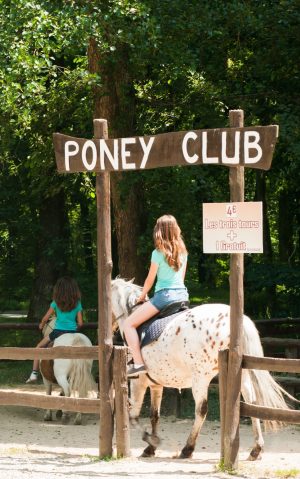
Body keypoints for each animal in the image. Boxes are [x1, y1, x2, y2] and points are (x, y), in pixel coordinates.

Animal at [111, 278, 292, 462]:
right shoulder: (156, 385)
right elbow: (154, 416)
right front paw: (150, 448)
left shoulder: (138, 382)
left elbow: (133, 416)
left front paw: (151, 441)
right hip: (242, 374)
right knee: (251, 402)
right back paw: (256, 449)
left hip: (201, 378)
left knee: (201, 409)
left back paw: (187, 449)